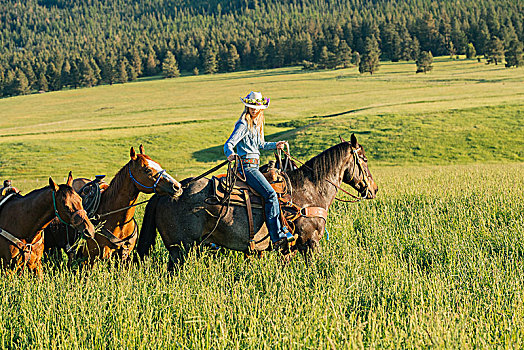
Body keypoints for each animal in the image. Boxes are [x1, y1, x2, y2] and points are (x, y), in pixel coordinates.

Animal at [45, 144, 184, 262]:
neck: (117, 220)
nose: (177, 187)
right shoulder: (93, 259)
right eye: (148, 170)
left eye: (158, 165)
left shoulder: (123, 257)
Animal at [137, 133, 378, 270]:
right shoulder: (310, 243)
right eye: (364, 159)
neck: (310, 191)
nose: (373, 189)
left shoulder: (288, 249)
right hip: (180, 250)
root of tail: (164, 193)